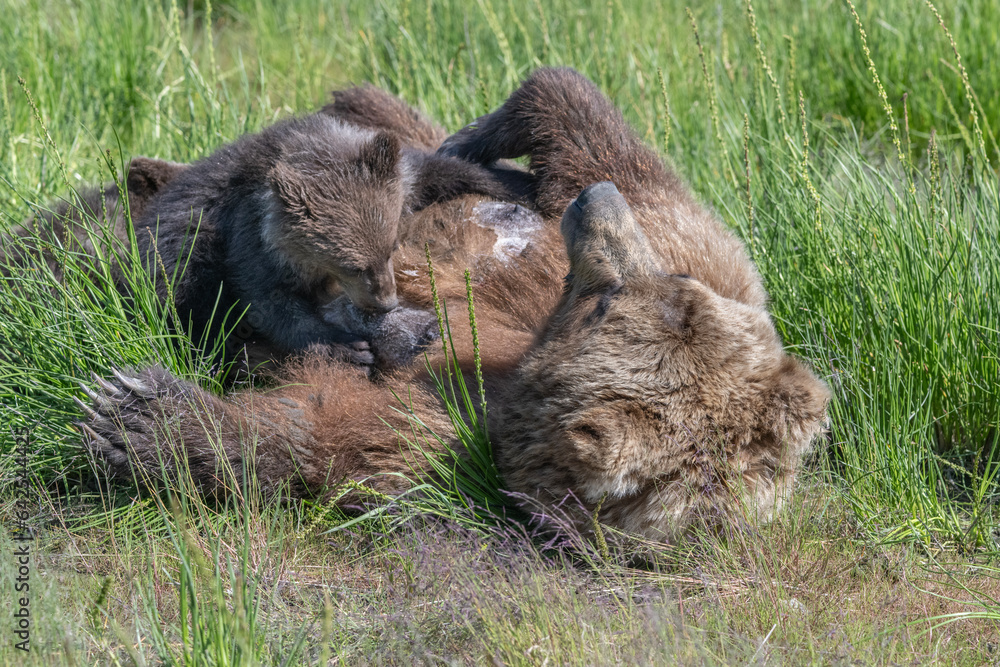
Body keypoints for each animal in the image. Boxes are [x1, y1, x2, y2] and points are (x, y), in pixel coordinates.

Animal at [77, 68, 830, 542]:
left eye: (602, 301)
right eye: (671, 282)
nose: (595, 206)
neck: (521, 354)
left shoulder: (452, 438)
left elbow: (322, 428)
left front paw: (134, 410)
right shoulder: (697, 244)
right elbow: (586, 128)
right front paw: (482, 137)